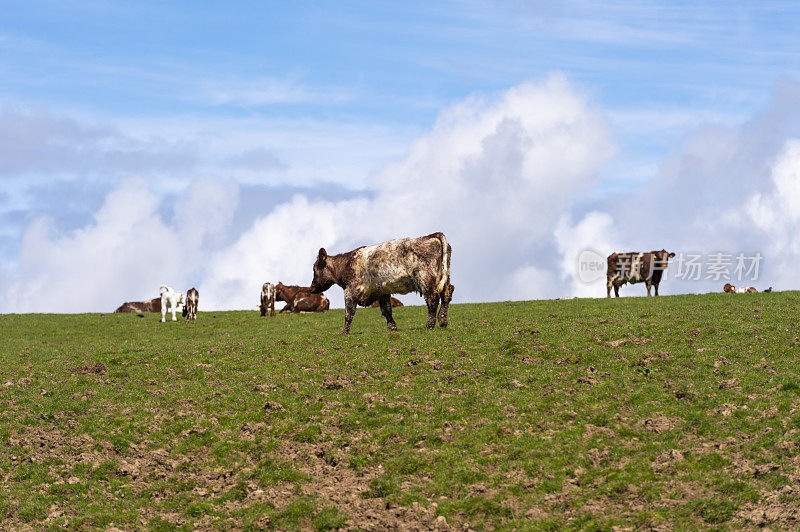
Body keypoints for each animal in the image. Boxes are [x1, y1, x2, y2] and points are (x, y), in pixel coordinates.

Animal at [310, 232, 454, 334]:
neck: (345, 264)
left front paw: (344, 332)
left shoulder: (351, 291)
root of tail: (431, 235)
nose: (311, 289)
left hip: (425, 278)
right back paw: (443, 320)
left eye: (315, 268)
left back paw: (430, 324)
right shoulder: (382, 291)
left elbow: (348, 313)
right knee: (447, 294)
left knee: (432, 298)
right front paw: (392, 327)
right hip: (445, 277)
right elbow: (387, 310)